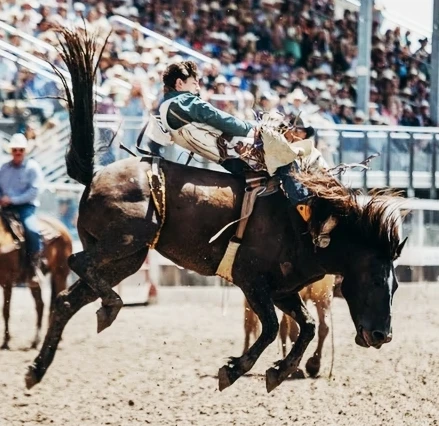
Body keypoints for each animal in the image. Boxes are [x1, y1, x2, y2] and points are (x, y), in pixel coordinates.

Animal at [0, 215, 72, 348]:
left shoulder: (8, 281)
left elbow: (5, 311)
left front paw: (6, 342)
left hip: (60, 275)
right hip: (35, 283)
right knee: (40, 306)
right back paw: (36, 340)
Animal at [25, 30, 408, 392]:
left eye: (396, 286)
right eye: (377, 279)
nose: (382, 336)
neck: (309, 223)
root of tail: (95, 174)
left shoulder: (282, 290)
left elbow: (307, 326)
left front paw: (278, 372)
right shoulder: (251, 281)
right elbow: (271, 328)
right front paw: (234, 370)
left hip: (126, 258)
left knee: (66, 298)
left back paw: (38, 368)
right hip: (126, 240)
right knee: (78, 263)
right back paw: (110, 306)